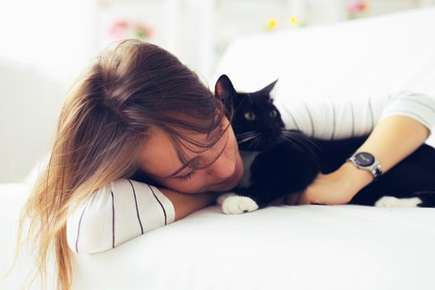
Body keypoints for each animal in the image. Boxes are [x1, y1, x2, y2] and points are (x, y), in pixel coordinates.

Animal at [215, 74, 435, 213]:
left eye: (272, 114)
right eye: (249, 115)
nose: (273, 128)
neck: (249, 155)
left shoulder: (301, 161)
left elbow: (273, 181)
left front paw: (240, 199)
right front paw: (231, 193)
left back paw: (388, 201)